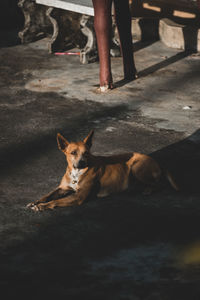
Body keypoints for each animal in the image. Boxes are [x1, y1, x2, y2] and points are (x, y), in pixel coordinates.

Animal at [27, 131, 178, 211]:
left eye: (86, 153)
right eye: (73, 152)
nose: (82, 162)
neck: (77, 173)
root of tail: (157, 163)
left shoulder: (79, 196)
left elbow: (56, 201)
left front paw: (42, 206)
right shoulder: (62, 188)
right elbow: (48, 195)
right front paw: (36, 202)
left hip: (136, 167)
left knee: (159, 183)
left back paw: (148, 189)